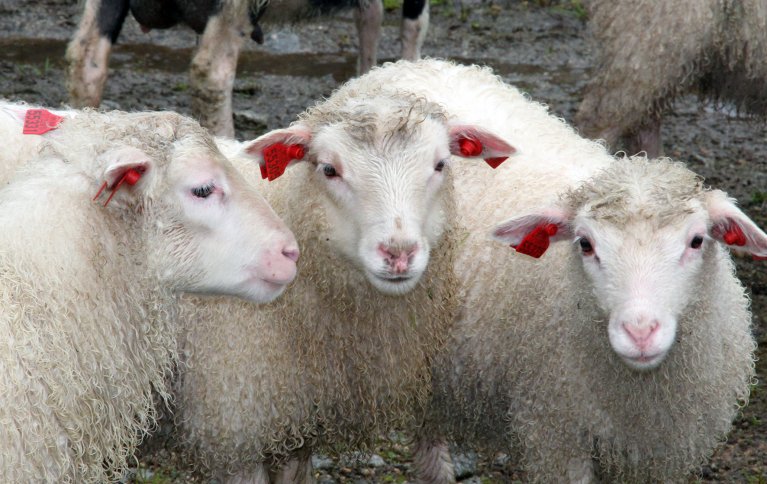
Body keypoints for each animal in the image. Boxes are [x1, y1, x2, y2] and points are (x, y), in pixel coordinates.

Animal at [170, 58, 624, 482]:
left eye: (441, 164)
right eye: (329, 169)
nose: (399, 254)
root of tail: (421, 62)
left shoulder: (297, 424)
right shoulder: (235, 425)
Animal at [416, 157, 764, 482]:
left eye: (696, 240)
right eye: (585, 244)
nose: (640, 333)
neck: (637, 395)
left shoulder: (663, 455)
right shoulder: (556, 436)